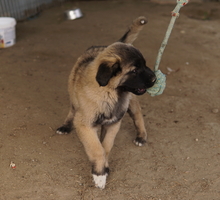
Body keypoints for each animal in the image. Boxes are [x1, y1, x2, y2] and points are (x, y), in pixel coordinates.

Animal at [56, 16, 156, 189]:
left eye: (145, 64)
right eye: (134, 70)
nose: (155, 79)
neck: (109, 93)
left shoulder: (113, 124)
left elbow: (106, 146)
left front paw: (103, 169)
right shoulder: (85, 125)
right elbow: (97, 149)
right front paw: (100, 174)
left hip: (131, 102)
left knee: (138, 116)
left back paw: (141, 136)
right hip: (74, 98)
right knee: (72, 110)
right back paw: (65, 126)